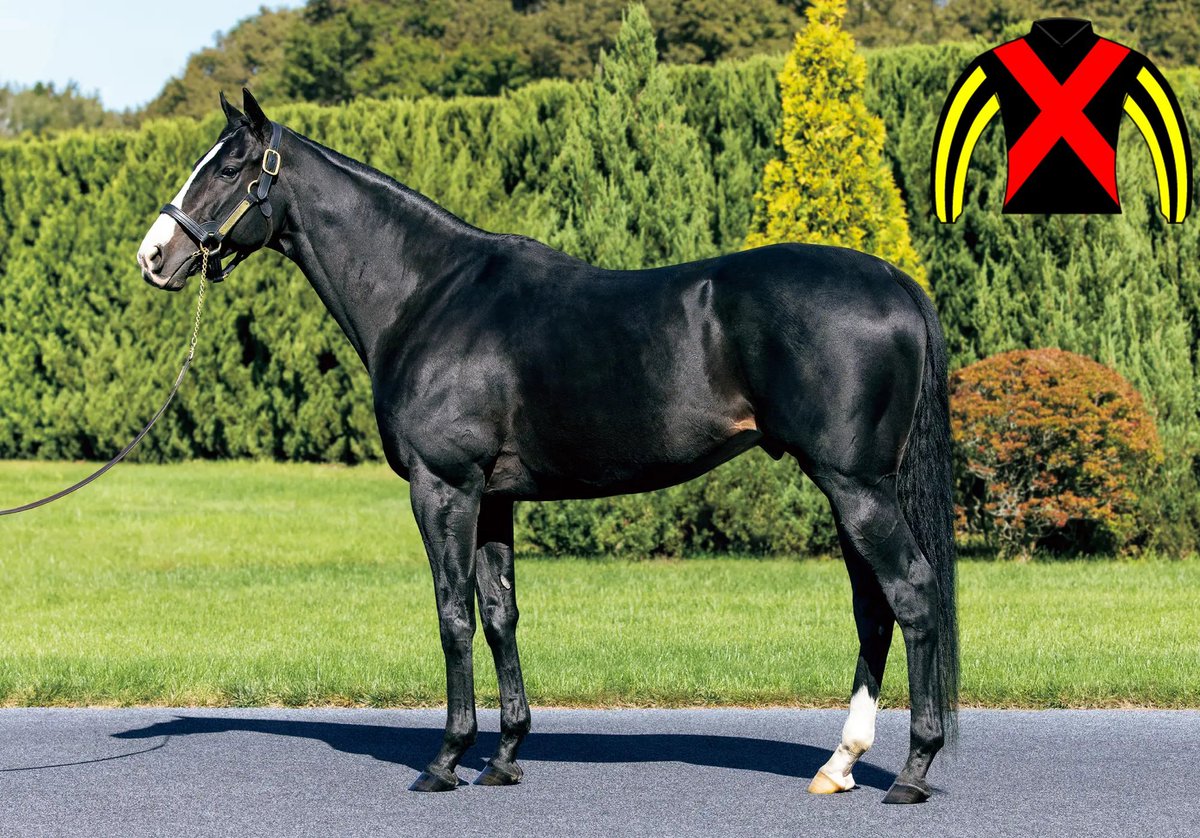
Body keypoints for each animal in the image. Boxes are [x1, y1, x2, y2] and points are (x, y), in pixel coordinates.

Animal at [137, 89, 959, 804]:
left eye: (231, 168)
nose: (155, 255)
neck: (428, 296)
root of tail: (895, 282)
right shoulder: (494, 497)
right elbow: (500, 614)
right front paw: (504, 756)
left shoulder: (444, 488)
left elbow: (453, 614)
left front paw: (445, 760)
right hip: (852, 488)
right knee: (874, 607)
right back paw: (840, 764)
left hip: (855, 486)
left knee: (912, 593)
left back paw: (912, 771)